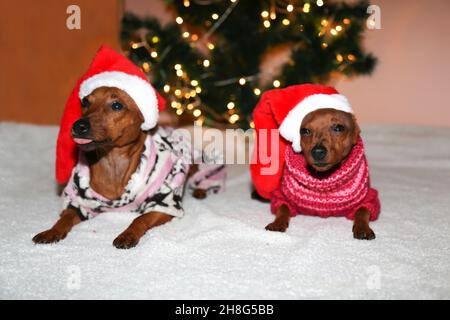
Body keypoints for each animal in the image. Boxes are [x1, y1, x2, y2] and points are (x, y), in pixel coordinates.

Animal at [33, 46, 227, 249]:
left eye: (117, 105)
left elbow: (140, 219)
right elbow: (64, 218)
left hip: (202, 164)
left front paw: (127, 235)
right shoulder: (78, 203)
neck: (112, 163)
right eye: (85, 102)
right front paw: (52, 231)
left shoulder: (163, 204)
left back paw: (201, 189)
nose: (78, 126)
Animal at [266, 109, 374, 239]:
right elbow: (283, 207)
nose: (317, 152)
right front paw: (277, 223)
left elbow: (362, 210)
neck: (323, 177)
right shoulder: (281, 196)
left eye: (338, 128)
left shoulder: (369, 198)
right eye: (305, 131)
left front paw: (363, 227)